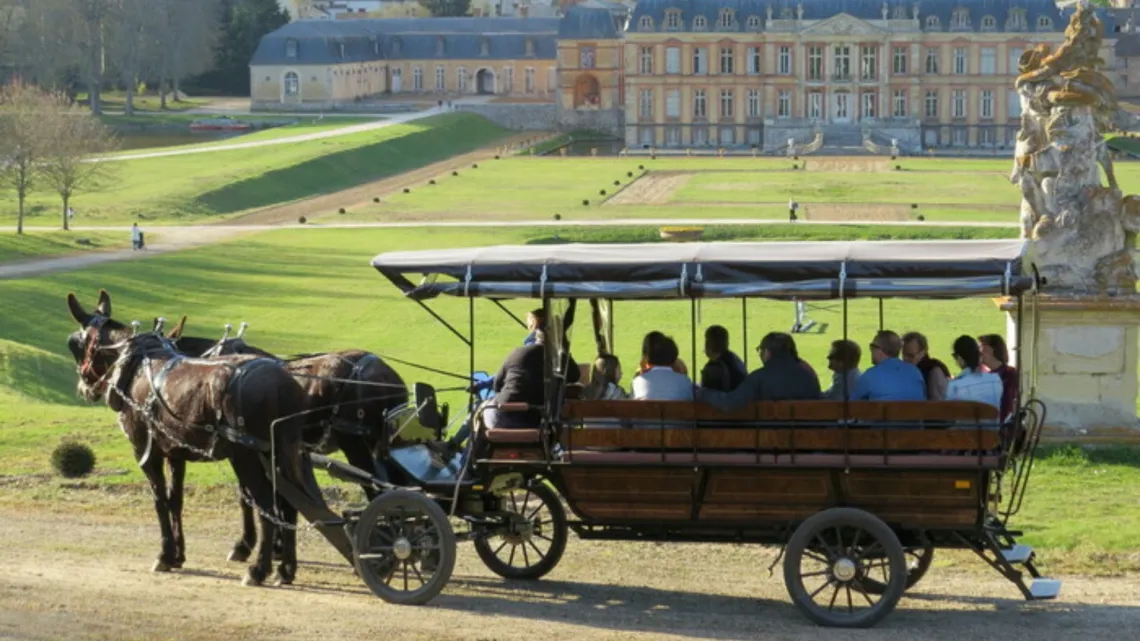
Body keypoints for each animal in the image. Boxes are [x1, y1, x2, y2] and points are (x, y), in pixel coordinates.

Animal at [66, 289, 316, 583]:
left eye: (74, 344)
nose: (84, 388)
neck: (136, 368)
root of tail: (281, 380)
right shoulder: (175, 453)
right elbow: (176, 500)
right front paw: (178, 555)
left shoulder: (146, 453)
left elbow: (160, 500)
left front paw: (165, 554)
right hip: (282, 452)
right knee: (289, 504)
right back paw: (286, 568)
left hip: (247, 455)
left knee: (267, 503)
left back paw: (259, 568)